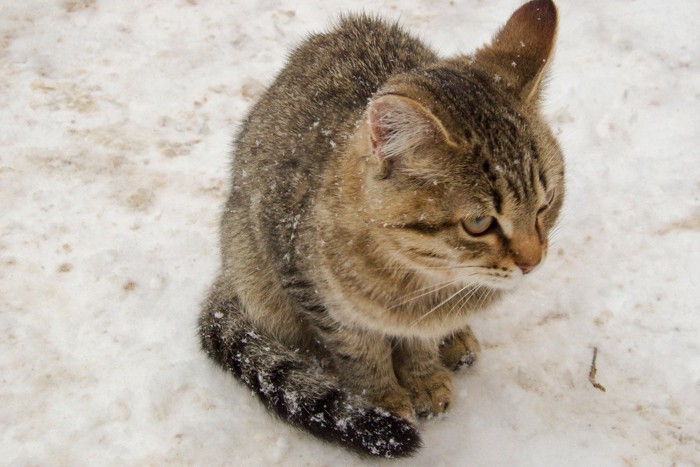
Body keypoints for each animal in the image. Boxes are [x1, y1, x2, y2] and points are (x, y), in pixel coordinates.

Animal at [197, 0, 564, 458]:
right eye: (479, 223)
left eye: (546, 204)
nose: (533, 261)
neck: (418, 278)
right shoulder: (308, 285)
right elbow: (357, 350)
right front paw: (383, 397)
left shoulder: (423, 316)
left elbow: (419, 339)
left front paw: (423, 376)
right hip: (254, 265)